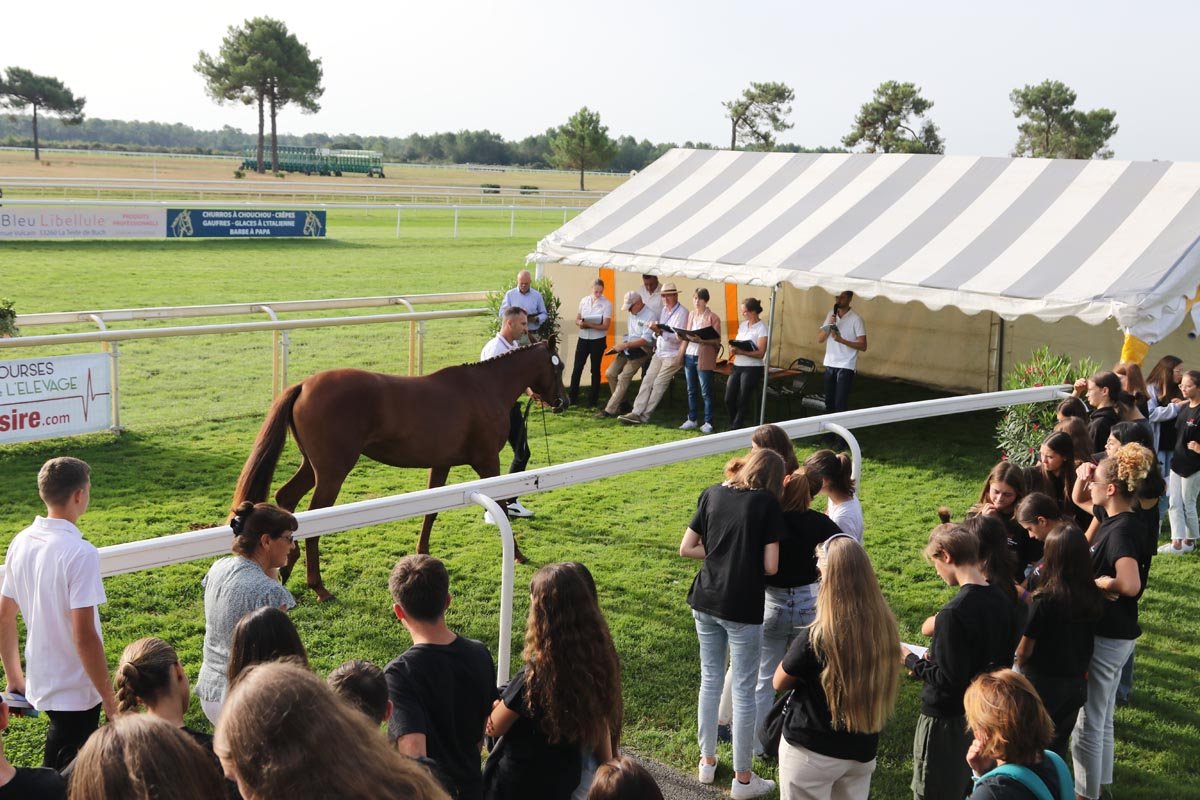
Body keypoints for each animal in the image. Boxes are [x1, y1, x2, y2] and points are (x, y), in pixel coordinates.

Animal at [235, 345, 571, 599]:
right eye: (559, 366)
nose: (563, 401)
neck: (484, 387)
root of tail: (304, 385)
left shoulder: (442, 463)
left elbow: (431, 511)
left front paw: (423, 555)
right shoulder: (487, 462)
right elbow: (500, 503)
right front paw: (518, 554)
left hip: (313, 467)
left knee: (286, 497)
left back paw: (287, 567)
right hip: (332, 473)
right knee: (314, 520)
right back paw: (318, 586)